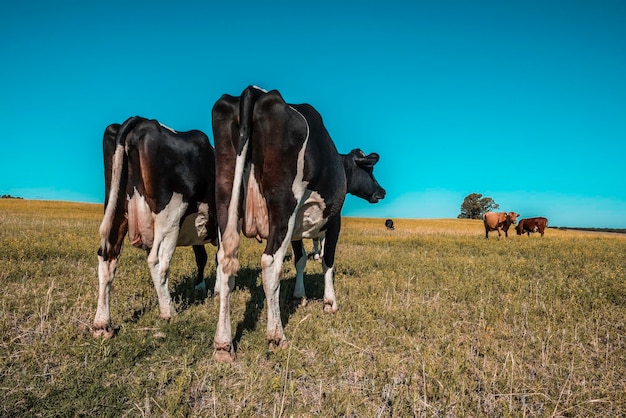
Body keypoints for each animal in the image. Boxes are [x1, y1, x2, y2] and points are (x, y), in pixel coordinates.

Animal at [92, 116, 218, 338]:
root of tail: (142, 120)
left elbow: (201, 257)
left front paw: (200, 287)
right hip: (170, 215)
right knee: (157, 260)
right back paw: (169, 312)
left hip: (116, 208)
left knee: (107, 258)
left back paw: (102, 323)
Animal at [211, 85, 386, 362]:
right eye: (369, 171)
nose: (382, 191)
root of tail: (255, 91)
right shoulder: (333, 221)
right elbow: (327, 260)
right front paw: (329, 302)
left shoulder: (296, 230)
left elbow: (300, 259)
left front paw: (299, 296)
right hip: (284, 206)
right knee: (270, 263)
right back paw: (276, 336)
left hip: (226, 200)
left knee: (225, 261)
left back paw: (223, 344)